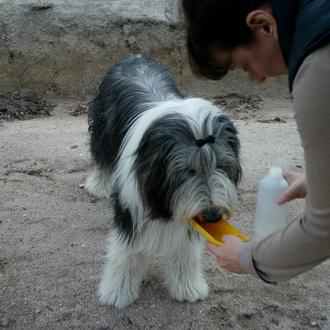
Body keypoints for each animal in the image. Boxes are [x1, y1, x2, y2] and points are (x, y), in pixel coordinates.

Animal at [84, 54, 240, 310]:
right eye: (187, 170)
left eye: (221, 165)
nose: (212, 216)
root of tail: (134, 56)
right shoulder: (132, 202)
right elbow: (126, 251)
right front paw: (118, 291)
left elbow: (185, 248)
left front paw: (187, 286)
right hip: (103, 126)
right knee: (102, 154)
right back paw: (99, 184)